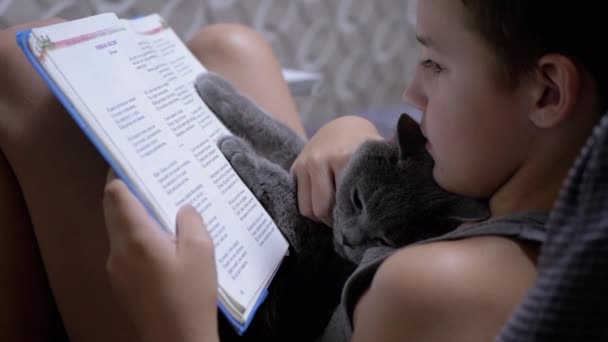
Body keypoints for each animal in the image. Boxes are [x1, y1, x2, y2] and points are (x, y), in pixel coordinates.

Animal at [195, 72, 490, 340]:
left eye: (385, 240)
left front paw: (240, 151)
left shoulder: (315, 247)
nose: (348, 238)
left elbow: (285, 190)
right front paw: (214, 87)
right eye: (358, 199)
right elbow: (283, 136)